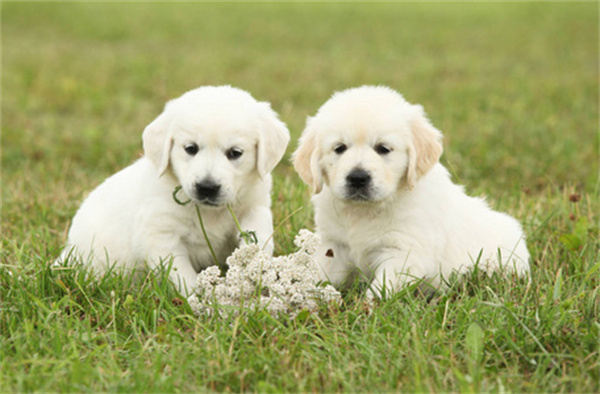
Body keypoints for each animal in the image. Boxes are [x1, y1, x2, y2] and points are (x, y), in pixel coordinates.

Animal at [56, 86, 290, 296]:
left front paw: (255, 265)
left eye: (235, 153)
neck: (209, 212)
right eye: (190, 148)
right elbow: (181, 274)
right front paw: (201, 300)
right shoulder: (160, 235)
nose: (207, 187)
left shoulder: (255, 204)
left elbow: (259, 231)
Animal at [294, 85, 528, 296]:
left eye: (383, 148)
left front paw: (367, 310)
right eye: (339, 148)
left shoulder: (405, 252)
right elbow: (320, 273)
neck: (364, 211)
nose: (358, 178)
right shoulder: (334, 244)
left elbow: (381, 289)